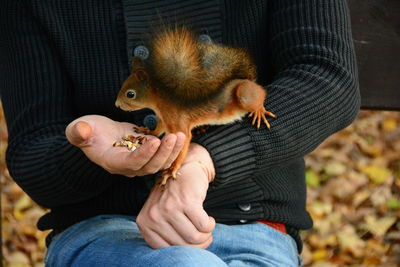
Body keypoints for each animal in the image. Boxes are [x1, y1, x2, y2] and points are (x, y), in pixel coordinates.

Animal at [114, 26, 274, 186]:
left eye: (130, 94)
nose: (116, 104)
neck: (161, 103)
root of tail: (248, 80)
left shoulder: (178, 122)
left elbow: (184, 141)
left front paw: (171, 170)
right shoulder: (164, 119)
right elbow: (158, 129)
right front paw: (147, 131)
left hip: (244, 94)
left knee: (260, 93)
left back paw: (259, 111)